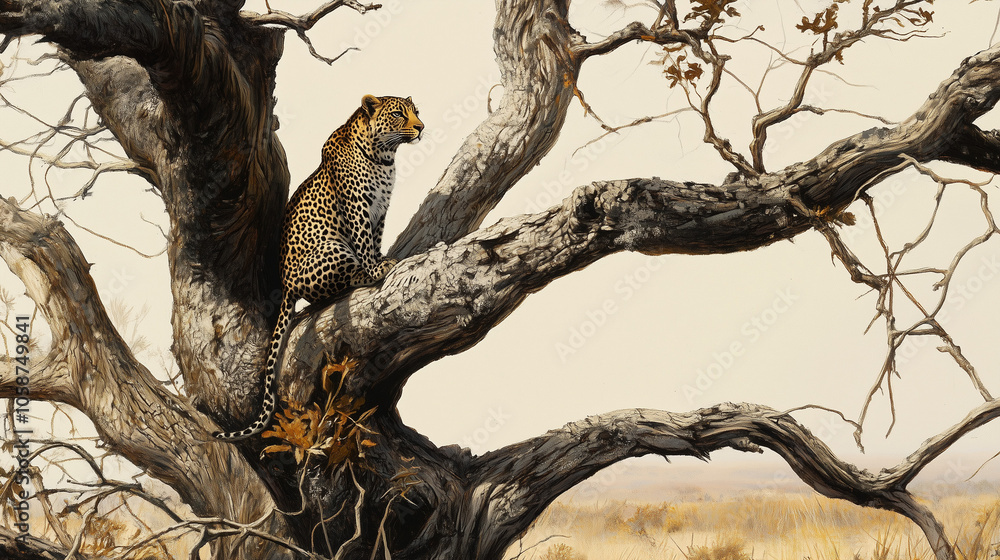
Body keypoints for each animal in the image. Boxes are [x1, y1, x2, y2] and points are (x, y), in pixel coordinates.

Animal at [214, 94, 423, 441]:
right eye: (398, 114)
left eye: (416, 112)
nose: (421, 127)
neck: (384, 157)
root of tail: (286, 287)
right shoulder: (358, 206)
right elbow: (364, 242)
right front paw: (375, 270)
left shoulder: (380, 210)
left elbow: (375, 240)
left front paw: (381, 259)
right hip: (331, 246)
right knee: (336, 283)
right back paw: (360, 275)